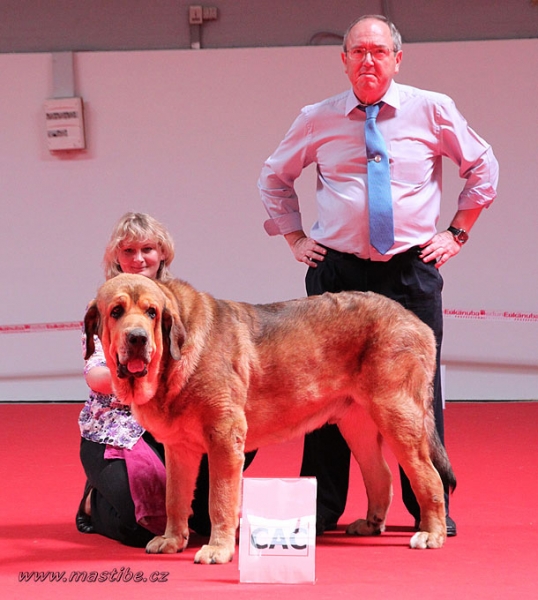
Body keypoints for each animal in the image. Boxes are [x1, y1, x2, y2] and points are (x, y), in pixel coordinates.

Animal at [84, 272, 452, 564]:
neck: (171, 362)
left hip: (398, 416)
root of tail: (415, 320)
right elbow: (175, 498)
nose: (137, 337)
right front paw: (172, 540)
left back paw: (432, 534)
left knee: (428, 477)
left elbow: (219, 500)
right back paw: (372, 524)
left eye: (152, 312)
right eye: (116, 312)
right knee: (382, 474)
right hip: (357, 423)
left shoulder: (224, 439)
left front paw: (217, 550)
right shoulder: (180, 449)